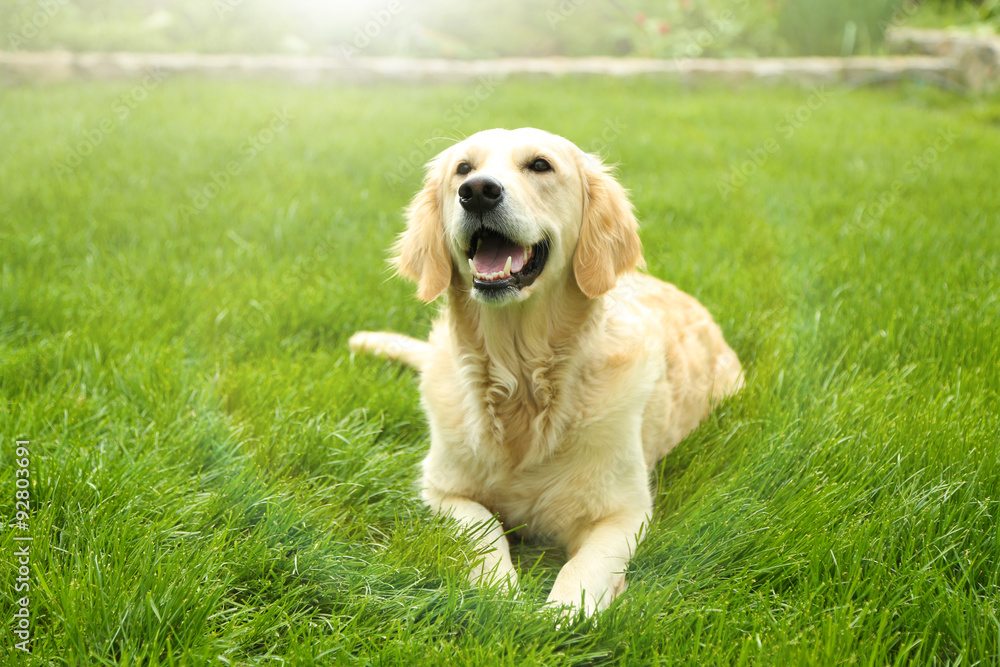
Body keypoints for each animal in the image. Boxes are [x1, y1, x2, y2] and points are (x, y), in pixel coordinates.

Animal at [352, 128, 744, 620]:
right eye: (463, 168)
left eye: (540, 165)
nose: (477, 191)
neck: (522, 382)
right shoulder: (441, 490)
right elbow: (484, 531)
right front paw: (500, 594)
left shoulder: (624, 512)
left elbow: (584, 569)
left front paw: (559, 617)